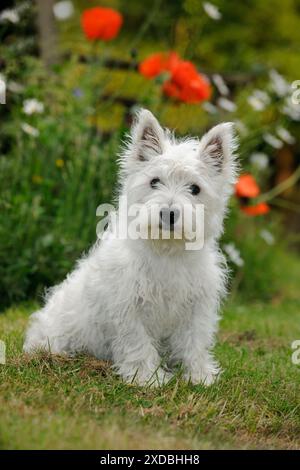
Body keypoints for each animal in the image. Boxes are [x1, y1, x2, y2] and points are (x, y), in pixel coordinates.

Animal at [23, 109, 238, 386]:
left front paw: (199, 375)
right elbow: (138, 343)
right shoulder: (128, 307)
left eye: (195, 188)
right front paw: (147, 378)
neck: (166, 250)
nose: (169, 213)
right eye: (154, 182)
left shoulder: (196, 307)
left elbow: (195, 342)